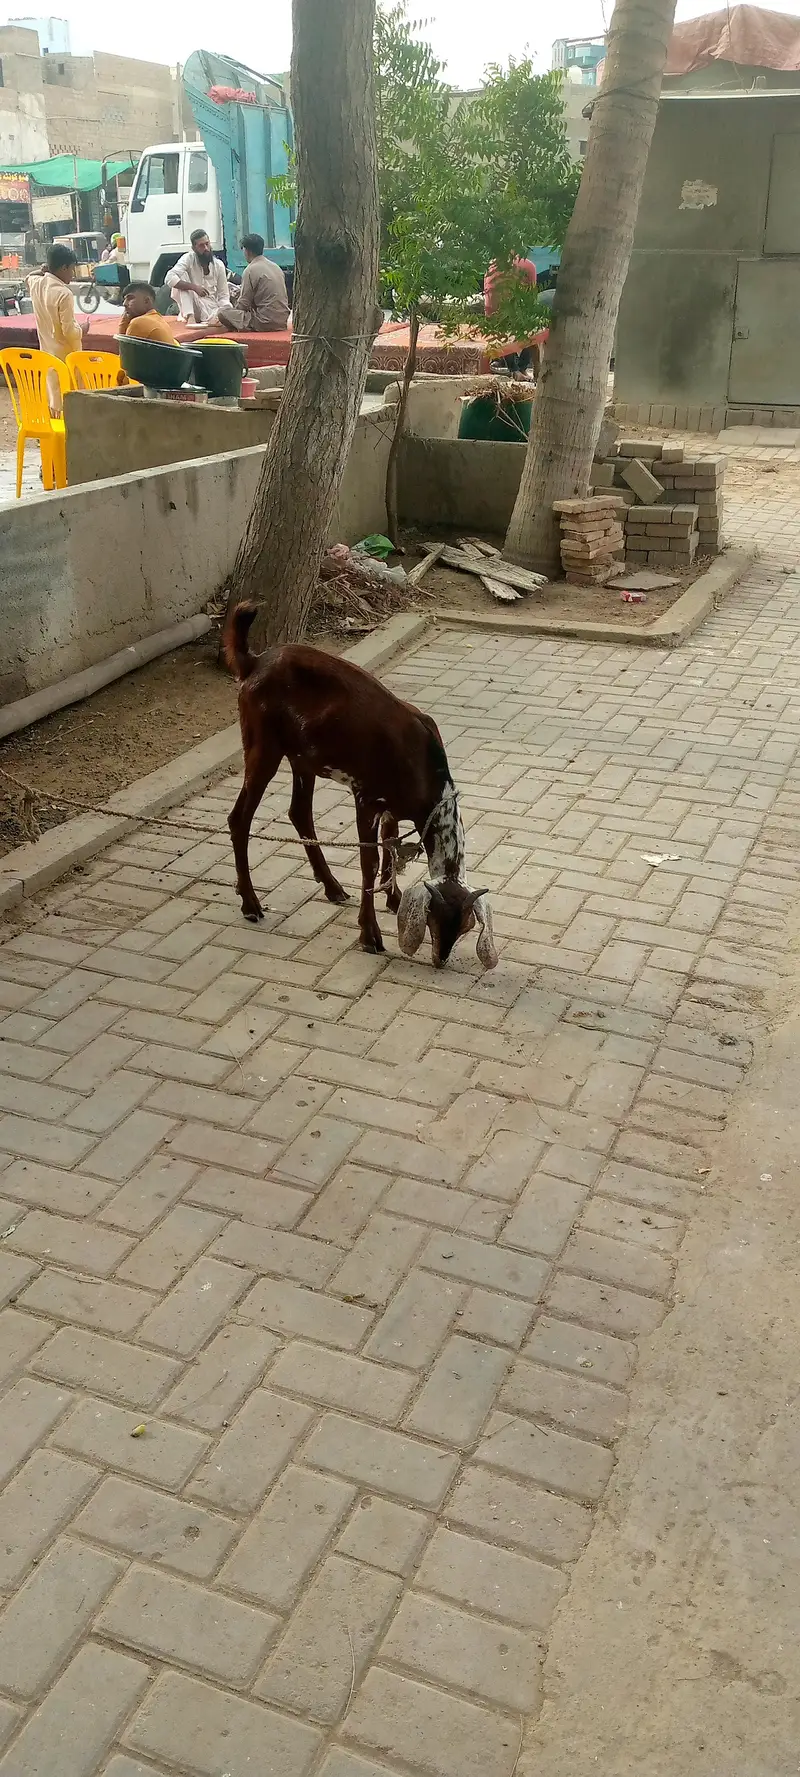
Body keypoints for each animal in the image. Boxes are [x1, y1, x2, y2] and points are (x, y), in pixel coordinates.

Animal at [222, 603, 497, 970]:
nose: (440, 959)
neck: (421, 766)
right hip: (262, 744)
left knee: (299, 812)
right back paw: (251, 903)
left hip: (303, 757)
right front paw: (370, 935)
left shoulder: (392, 806)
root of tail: (253, 662)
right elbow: (370, 862)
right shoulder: (366, 798)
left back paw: (332, 887)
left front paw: (393, 898)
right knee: (240, 817)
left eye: (466, 926)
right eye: (435, 919)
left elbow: (391, 845)